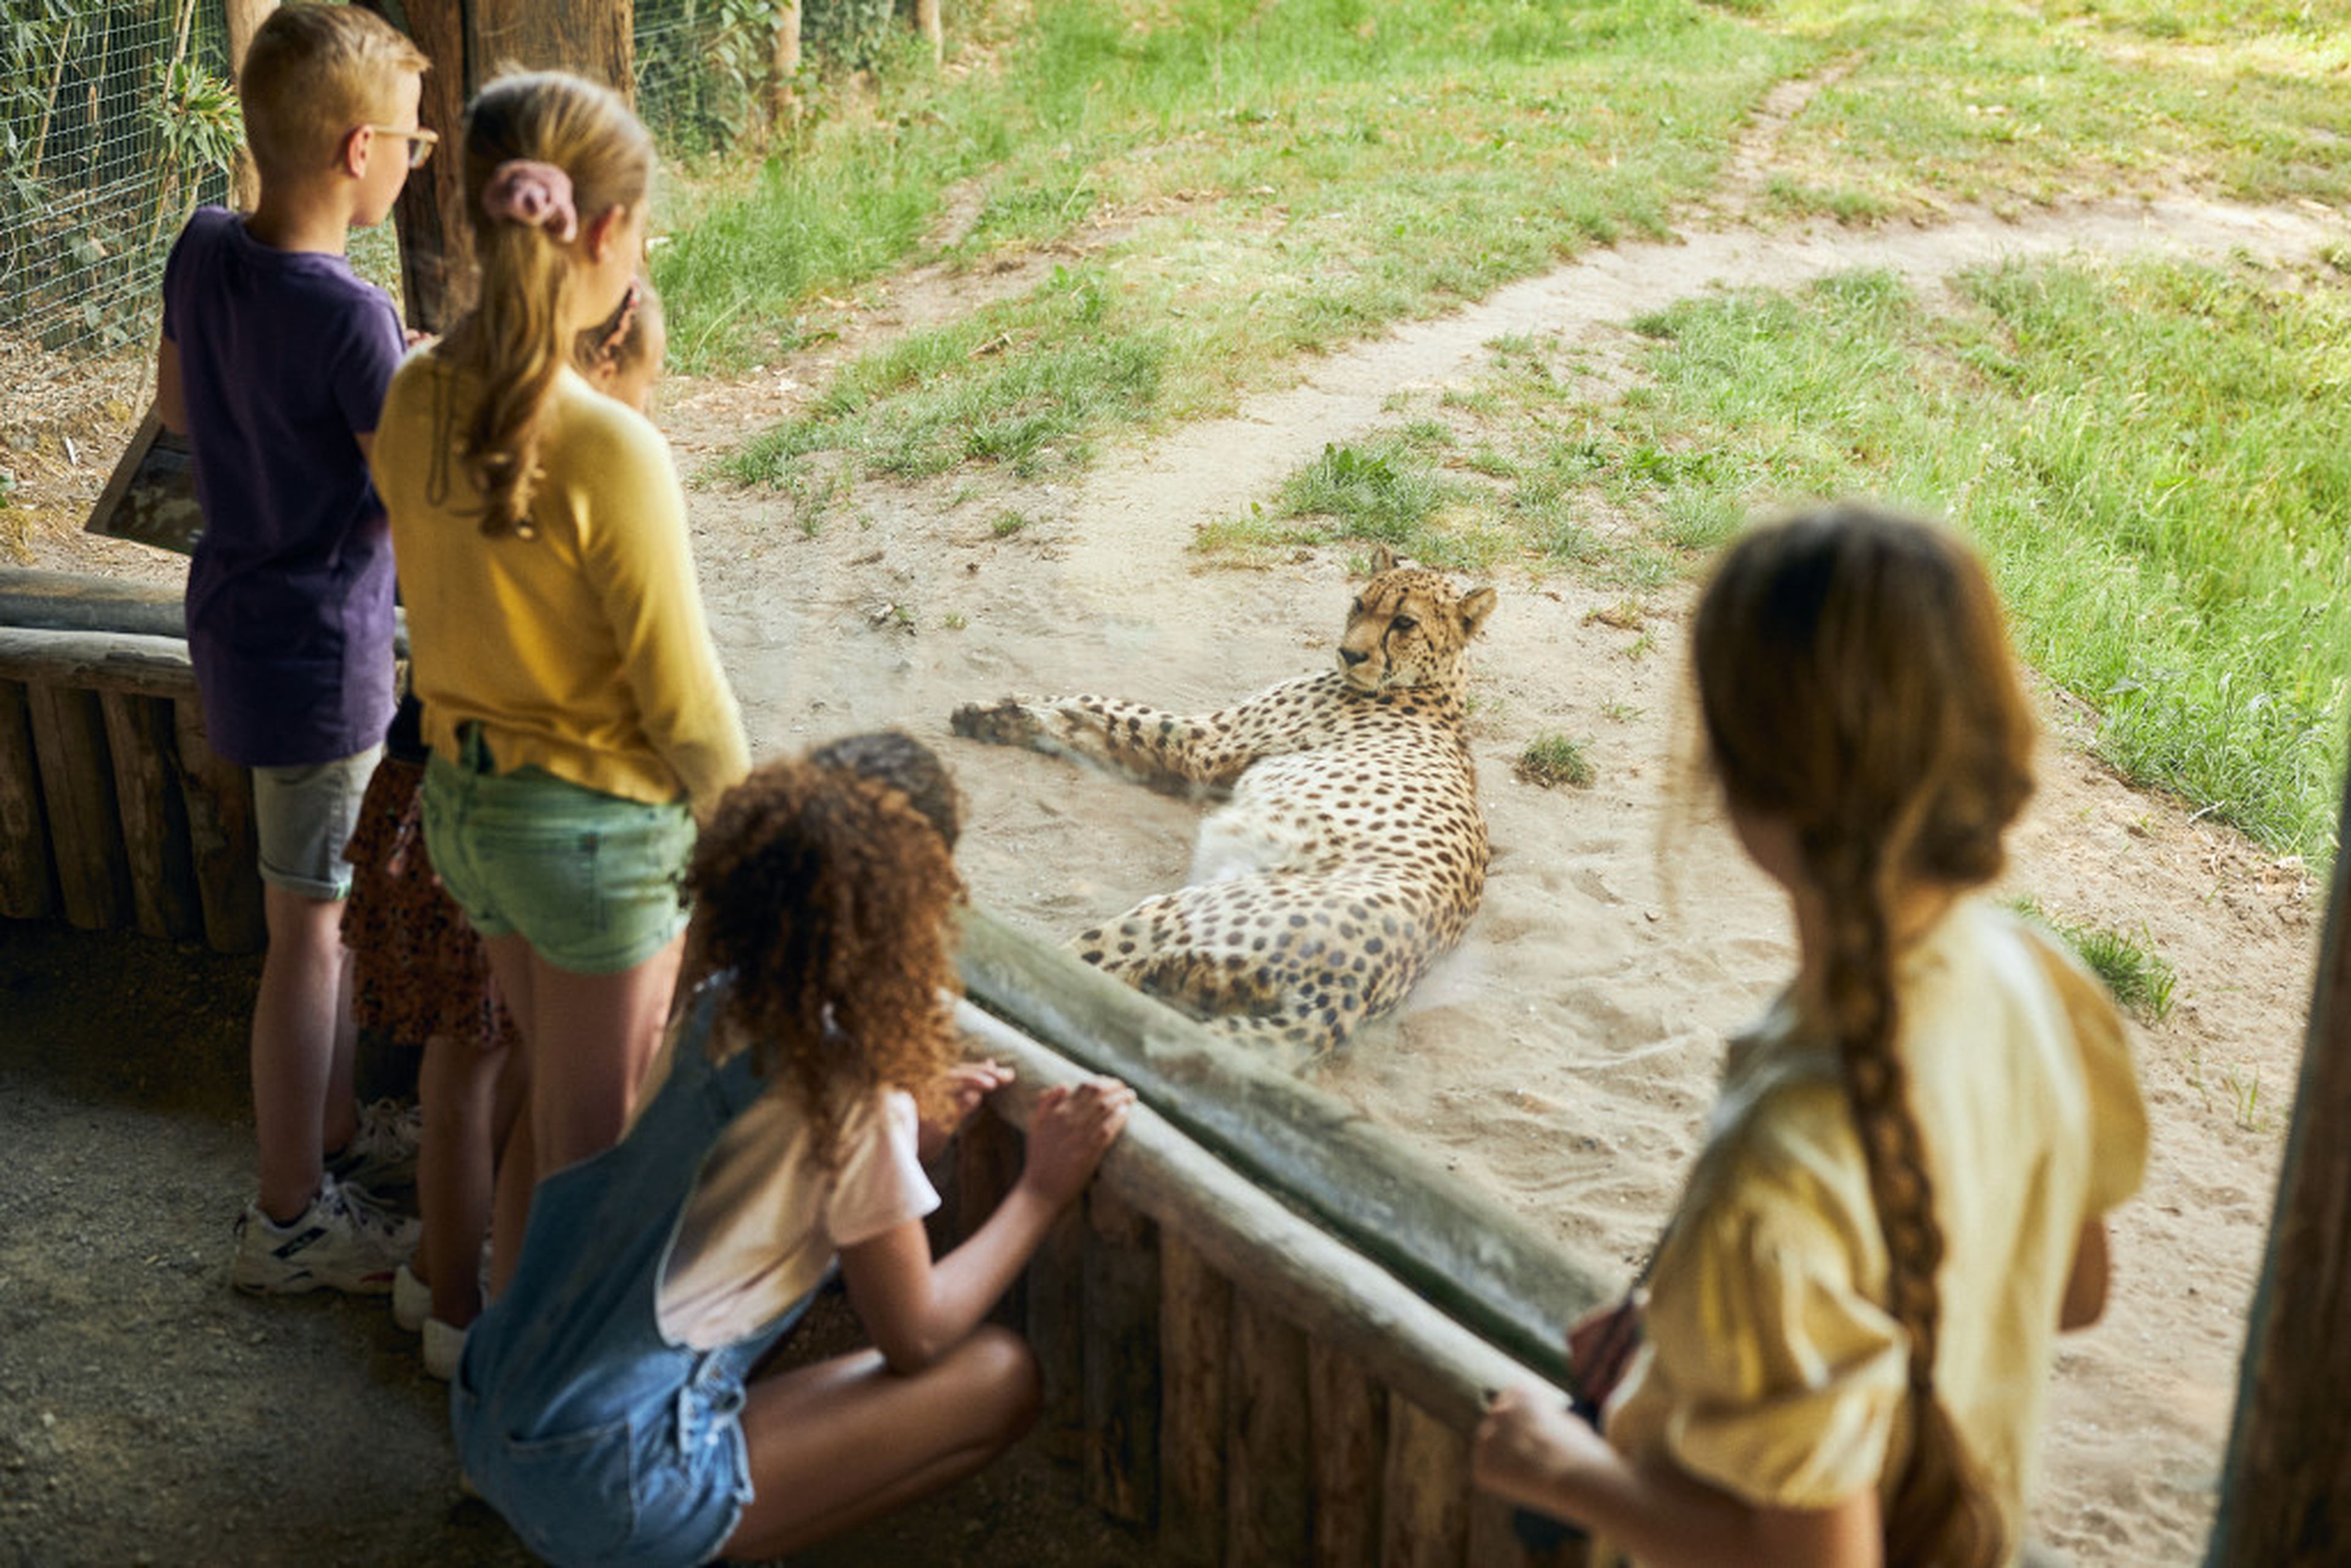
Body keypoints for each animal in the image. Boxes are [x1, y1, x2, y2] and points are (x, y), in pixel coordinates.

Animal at [949, 546, 1497, 1064]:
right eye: (1360, 603)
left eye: (1404, 622)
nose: (1350, 653)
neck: (1435, 685)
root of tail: (1350, 997)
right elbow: (1091, 721)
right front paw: (1003, 715)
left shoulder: (1205, 743)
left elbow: (1107, 706)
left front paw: (1002, 709)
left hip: (1171, 916)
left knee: (1075, 967)